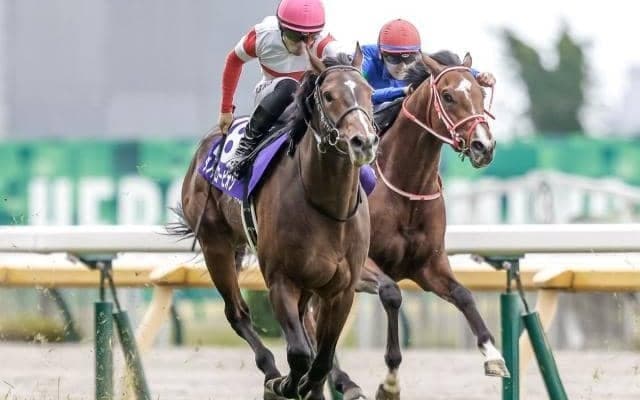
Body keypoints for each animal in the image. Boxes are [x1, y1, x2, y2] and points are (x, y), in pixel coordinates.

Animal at [172, 46, 378, 400]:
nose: (362, 142)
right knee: (237, 313)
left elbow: (321, 357)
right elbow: (299, 353)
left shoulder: (341, 290)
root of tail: (210, 140)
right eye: (328, 95)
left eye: (369, 92)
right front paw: (287, 383)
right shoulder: (281, 280)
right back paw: (270, 371)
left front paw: (316, 384)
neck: (327, 206)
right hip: (216, 244)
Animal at [313, 51, 507, 399]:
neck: (406, 187)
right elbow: (392, 294)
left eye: (480, 94)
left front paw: (493, 356)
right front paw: (390, 382)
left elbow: (464, 295)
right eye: (448, 96)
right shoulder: (361, 266)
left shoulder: (427, 265)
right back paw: (339, 379)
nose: (484, 146)